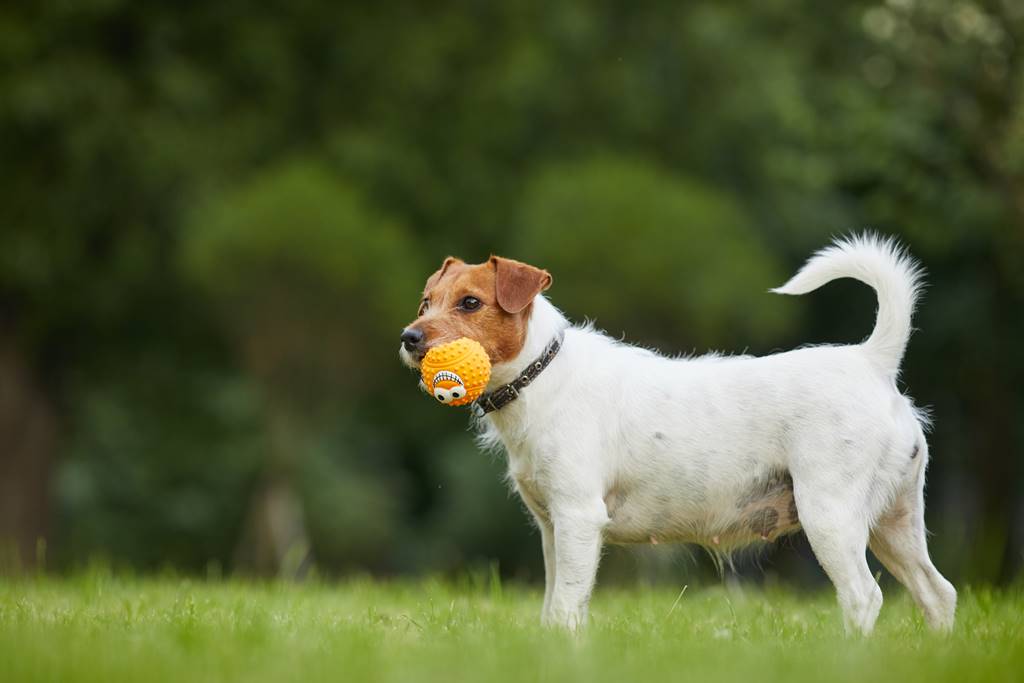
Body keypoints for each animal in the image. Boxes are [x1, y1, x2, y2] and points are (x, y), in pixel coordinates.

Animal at [397, 236, 950, 634]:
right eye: (425, 302)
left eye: (470, 303)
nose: (409, 337)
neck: (542, 373)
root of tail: (871, 362)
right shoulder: (551, 527)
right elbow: (554, 604)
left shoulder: (578, 519)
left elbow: (568, 605)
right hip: (895, 521)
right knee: (937, 594)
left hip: (830, 515)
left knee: (863, 597)